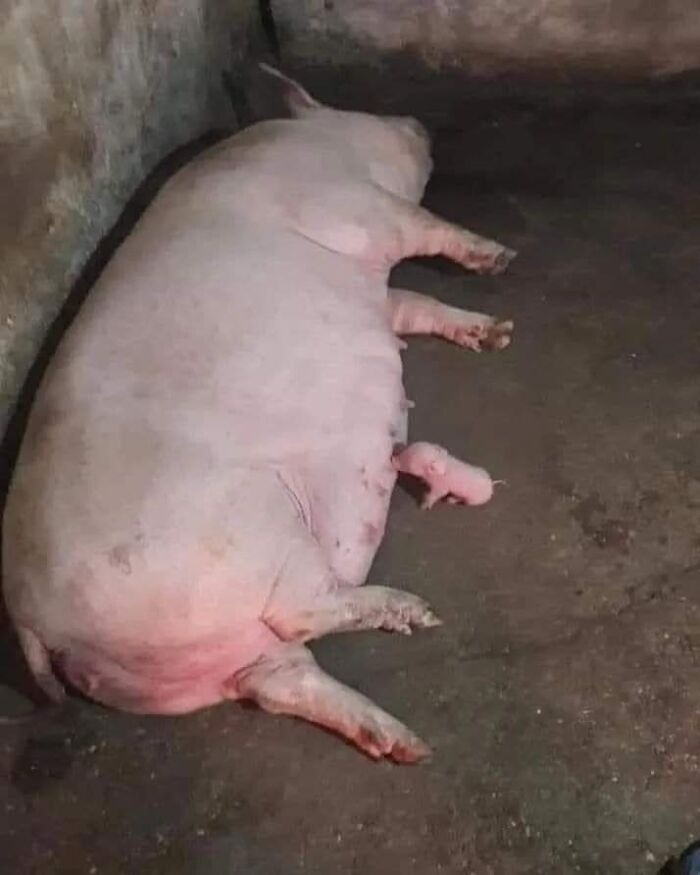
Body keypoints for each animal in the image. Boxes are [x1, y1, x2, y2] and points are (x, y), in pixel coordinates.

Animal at [2, 64, 515, 763]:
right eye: (365, 110)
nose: (417, 121)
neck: (327, 146)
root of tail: (32, 618)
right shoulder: (352, 206)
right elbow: (420, 223)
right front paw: (500, 258)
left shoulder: (375, 289)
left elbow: (413, 302)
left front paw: (498, 334)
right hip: (253, 539)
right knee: (303, 611)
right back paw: (417, 613)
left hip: (199, 650)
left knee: (281, 680)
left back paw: (405, 744)